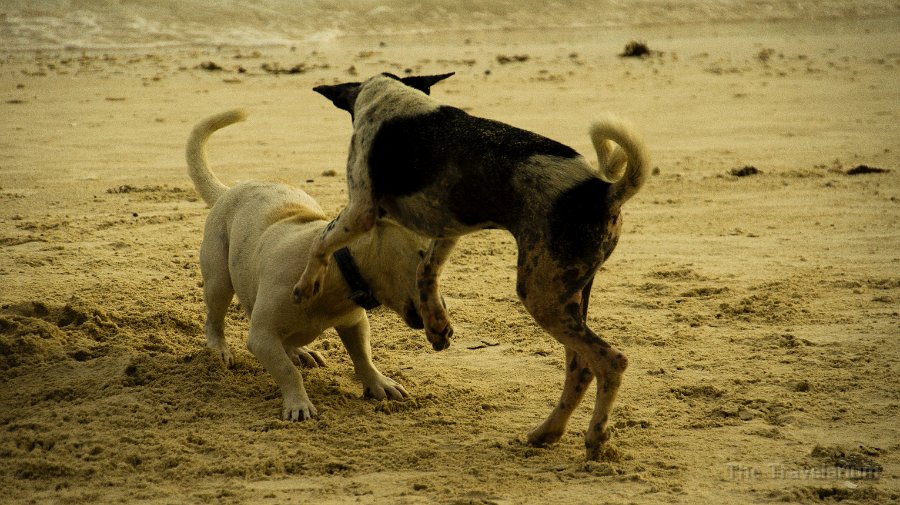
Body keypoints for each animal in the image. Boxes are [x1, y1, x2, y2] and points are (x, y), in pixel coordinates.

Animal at [186, 109, 428, 422]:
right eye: (421, 255)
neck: (332, 268)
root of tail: (230, 190)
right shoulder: (262, 337)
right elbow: (287, 372)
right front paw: (298, 405)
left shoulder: (353, 322)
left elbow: (363, 356)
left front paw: (379, 384)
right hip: (218, 279)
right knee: (215, 317)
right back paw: (219, 351)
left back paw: (301, 351)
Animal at [292, 73, 652, 458]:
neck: (392, 98)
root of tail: (605, 192)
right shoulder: (446, 229)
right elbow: (425, 274)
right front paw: (437, 326)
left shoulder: (361, 211)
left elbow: (322, 242)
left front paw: (306, 285)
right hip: (566, 294)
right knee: (581, 367)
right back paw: (548, 431)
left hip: (541, 294)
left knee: (611, 361)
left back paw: (595, 436)